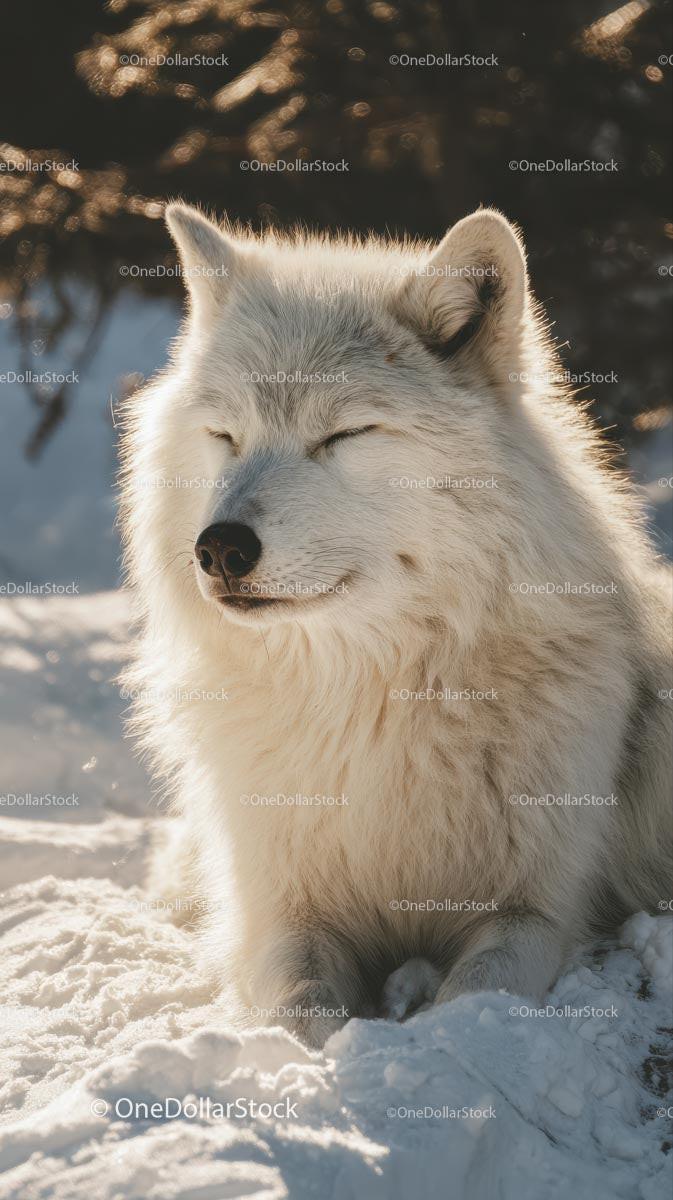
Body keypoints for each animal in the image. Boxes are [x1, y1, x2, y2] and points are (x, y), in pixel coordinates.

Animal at [119, 202, 672, 1047]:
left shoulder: (535, 910)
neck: (368, 699)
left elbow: (473, 996)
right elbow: (299, 1012)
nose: (219, 548)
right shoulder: (283, 915)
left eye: (342, 436)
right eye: (225, 437)